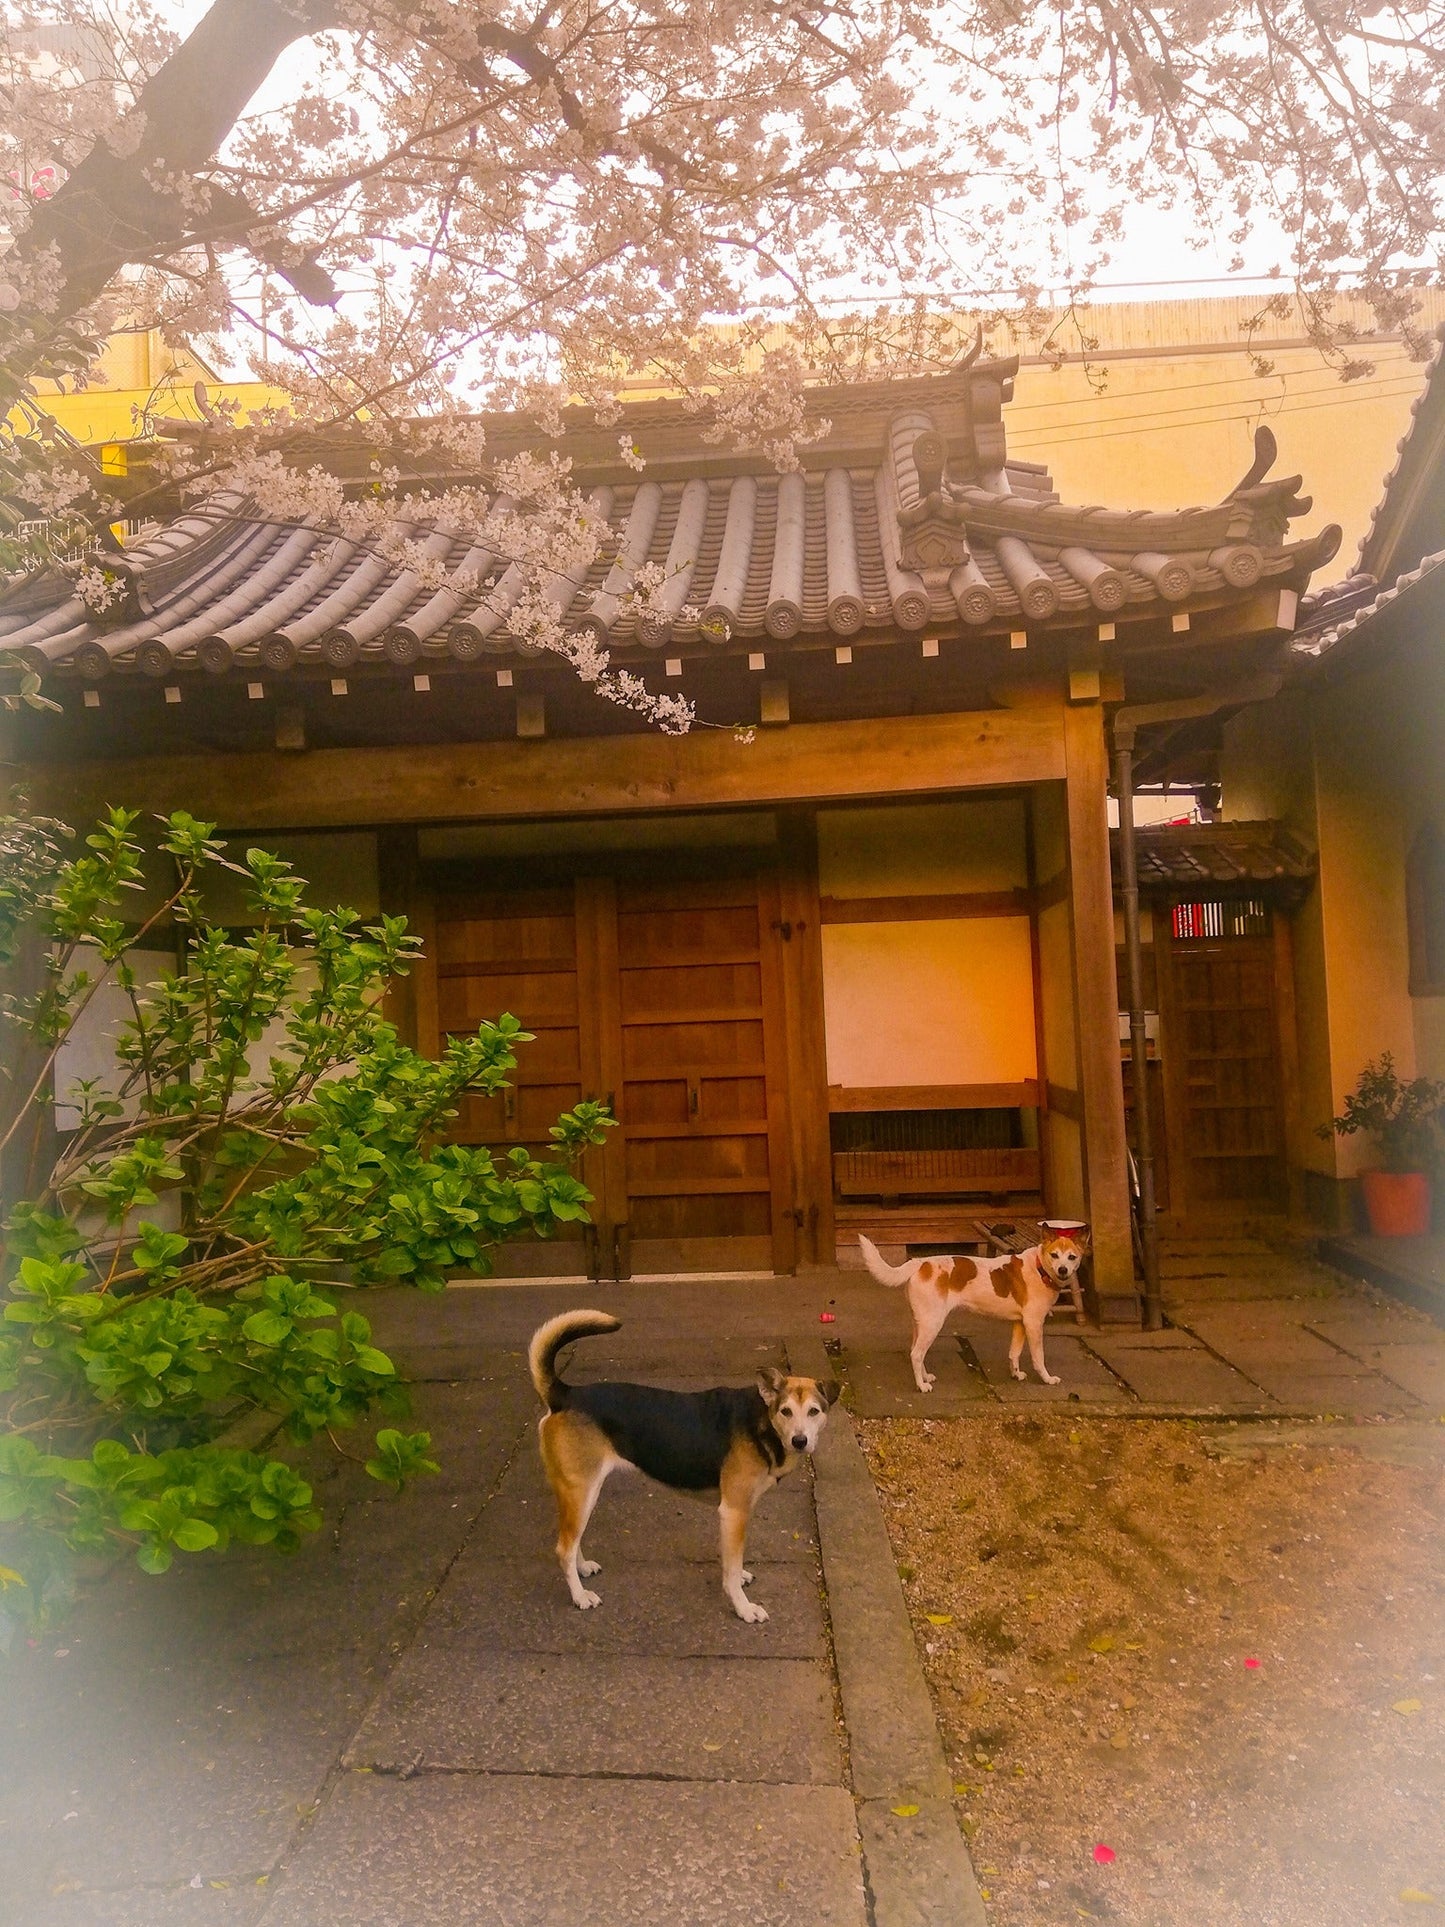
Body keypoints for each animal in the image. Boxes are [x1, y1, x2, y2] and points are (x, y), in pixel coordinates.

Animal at [531, 1310, 836, 1626]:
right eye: (785, 1411)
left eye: (814, 1411)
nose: (800, 1441)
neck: (763, 1420)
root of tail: (565, 1395)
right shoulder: (734, 1510)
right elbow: (731, 1569)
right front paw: (743, 1607)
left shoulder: (732, 1516)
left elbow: (731, 1560)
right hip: (583, 1490)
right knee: (564, 1548)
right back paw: (580, 1596)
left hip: (579, 1493)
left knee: (572, 1539)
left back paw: (582, 1569)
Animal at [859, 1233, 1086, 1387]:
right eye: (1054, 1255)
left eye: (1072, 1257)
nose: (1063, 1270)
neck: (1039, 1268)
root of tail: (920, 1263)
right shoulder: (1034, 1324)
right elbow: (1039, 1357)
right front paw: (1047, 1378)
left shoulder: (1020, 1324)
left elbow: (1014, 1353)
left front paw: (1016, 1374)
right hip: (933, 1323)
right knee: (916, 1354)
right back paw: (922, 1386)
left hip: (921, 1324)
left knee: (917, 1351)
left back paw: (925, 1377)